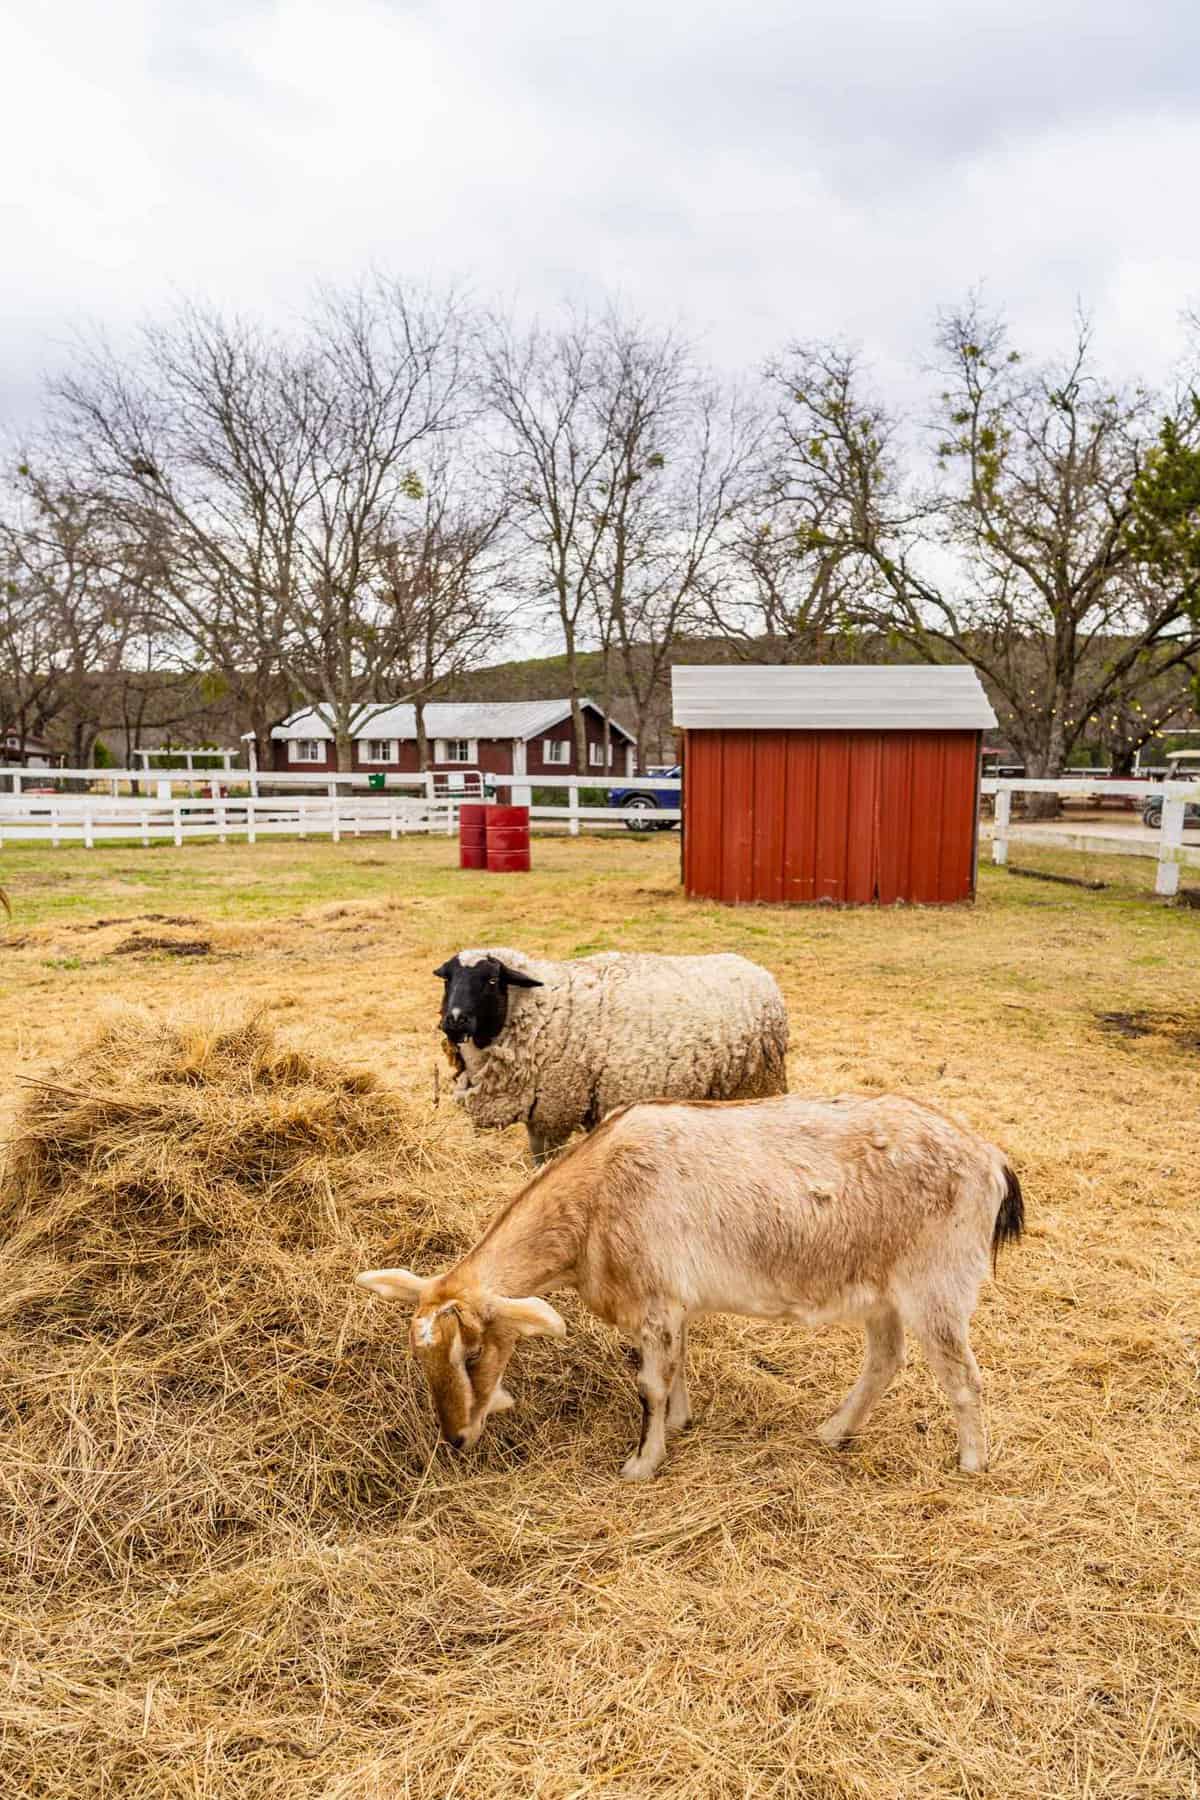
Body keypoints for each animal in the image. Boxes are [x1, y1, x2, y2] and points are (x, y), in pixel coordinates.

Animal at [356, 1087, 1021, 1483]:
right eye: (419, 1359)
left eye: (472, 1355)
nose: (456, 1438)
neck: (592, 1205)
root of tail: (990, 1159)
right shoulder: (668, 1305)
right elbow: (673, 1369)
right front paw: (678, 1422)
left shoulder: (654, 1298)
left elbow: (649, 1384)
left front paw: (641, 1462)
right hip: (882, 1289)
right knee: (885, 1359)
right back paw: (834, 1431)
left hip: (936, 1284)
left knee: (963, 1376)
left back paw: (972, 1462)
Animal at [437, 943, 791, 1166]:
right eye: (448, 980)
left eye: (491, 980)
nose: (455, 1020)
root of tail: (761, 973)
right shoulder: (542, 1113)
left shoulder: (556, 1108)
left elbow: (544, 1162)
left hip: (755, 1084)